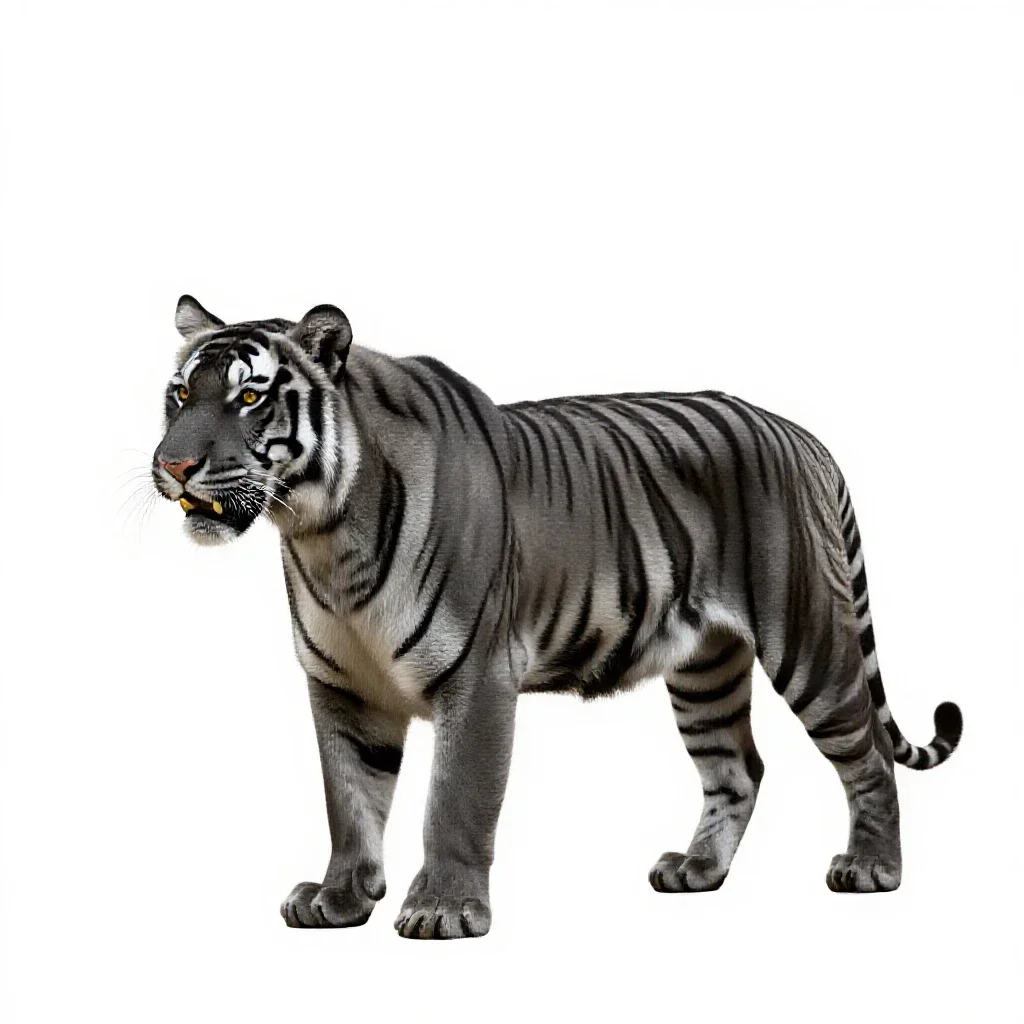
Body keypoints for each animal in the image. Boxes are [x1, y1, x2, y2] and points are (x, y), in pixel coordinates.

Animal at [152, 294, 963, 939]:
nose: (173, 466)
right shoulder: (342, 687)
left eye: (249, 399)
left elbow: (455, 800)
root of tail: (803, 437)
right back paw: (697, 870)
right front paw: (339, 899)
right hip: (705, 669)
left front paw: (443, 910)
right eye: (181, 394)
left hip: (808, 639)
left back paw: (872, 869)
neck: (322, 535)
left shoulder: (477, 677)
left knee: (866, 754)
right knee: (739, 768)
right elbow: (349, 798)